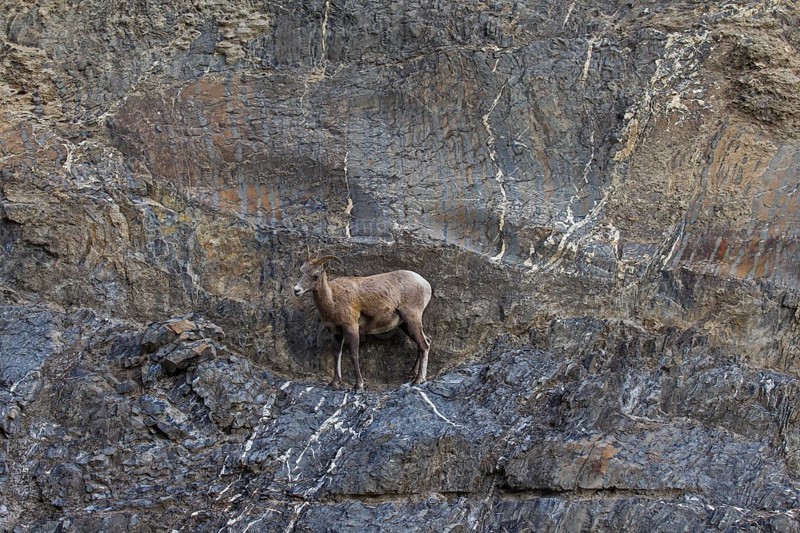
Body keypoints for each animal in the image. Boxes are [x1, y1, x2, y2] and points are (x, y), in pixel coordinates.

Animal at [293, 253, 432, 391]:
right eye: (302, 271)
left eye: (315, 276)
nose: (296, 290)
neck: (332, 300)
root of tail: (425, 284)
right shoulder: (337, 333)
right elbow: (337, 354)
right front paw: (334, 383)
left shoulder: (352, 328)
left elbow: (354, 355)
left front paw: (358, 385)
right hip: (404, 324)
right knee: (425, 342)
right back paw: (411, 375)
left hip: (412, 318)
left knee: (423, 345)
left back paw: (418, 380)